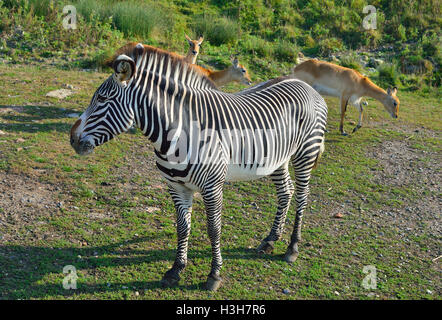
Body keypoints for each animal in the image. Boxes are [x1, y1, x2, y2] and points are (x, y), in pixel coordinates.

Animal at [71, 43, 328, 292]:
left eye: (102, 99)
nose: (72, 139)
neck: (178, 132)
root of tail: (305, 85)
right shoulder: (177, 186)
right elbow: (182, 227)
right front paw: (175, 270)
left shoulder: (212, 187)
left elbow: (214, 229)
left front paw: (214, 275)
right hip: (277, 158)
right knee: (286, 192)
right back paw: (270, 240)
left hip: (305, 152)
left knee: (302, 195)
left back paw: (292, 248)